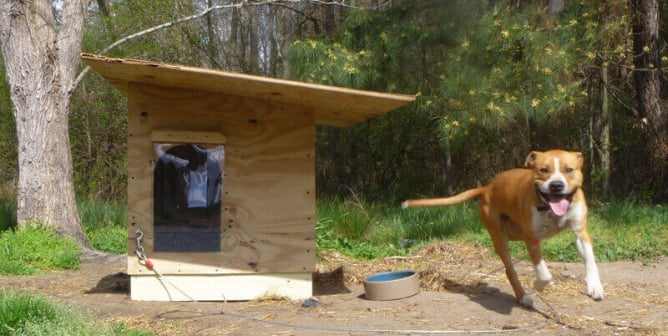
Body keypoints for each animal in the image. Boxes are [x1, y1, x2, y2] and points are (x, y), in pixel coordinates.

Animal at [402, 150, 604, 308]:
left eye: (569, 169)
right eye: (543, 170)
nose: (556, 185)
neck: (549, 210)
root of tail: (487, 188)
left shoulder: (580, 232)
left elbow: (590, 260)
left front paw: (595, 286)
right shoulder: (532, 238)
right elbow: (543, 272)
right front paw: (540, 285)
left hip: (514, 232)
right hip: (500, 238)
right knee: (510, 270)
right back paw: (523, 297)